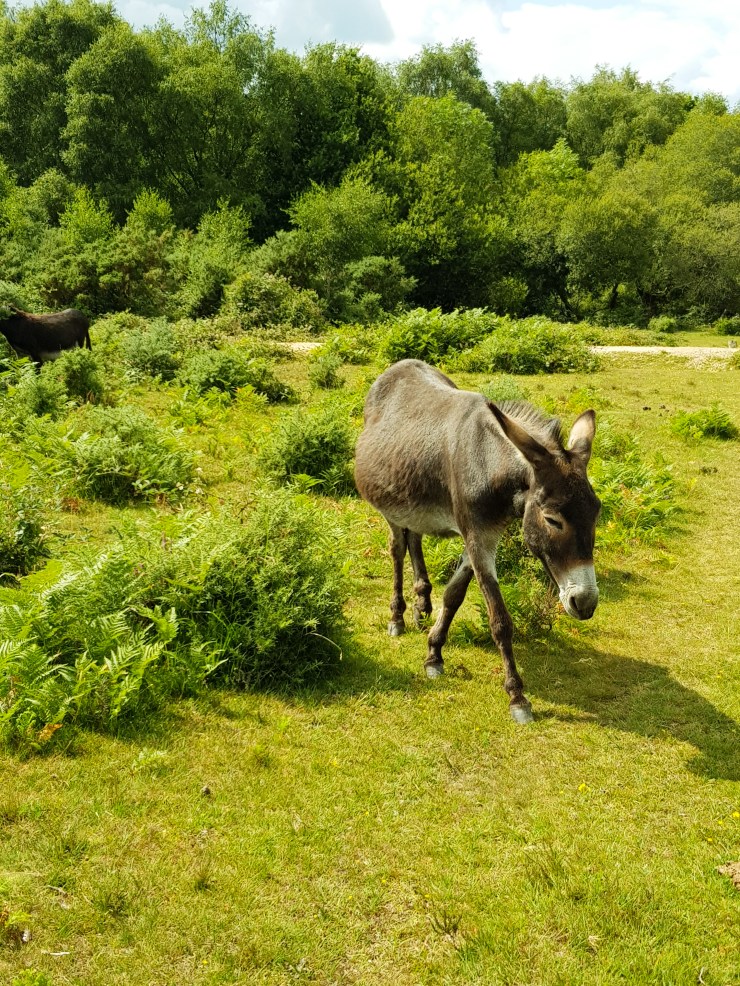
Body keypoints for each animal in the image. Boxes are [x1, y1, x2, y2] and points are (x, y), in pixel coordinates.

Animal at [354, 359, 601, 724]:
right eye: (552, 519)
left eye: (597, 513)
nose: (585, 604)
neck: (489, 462)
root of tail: (399, 366)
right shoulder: (476, 535)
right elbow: (499, 619)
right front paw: (517, 696)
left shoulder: (483, 535)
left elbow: (454, 595)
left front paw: (434, 653)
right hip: (389, 506)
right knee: (397, 548)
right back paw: (397, 617)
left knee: (415, 539)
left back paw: (421, 604)